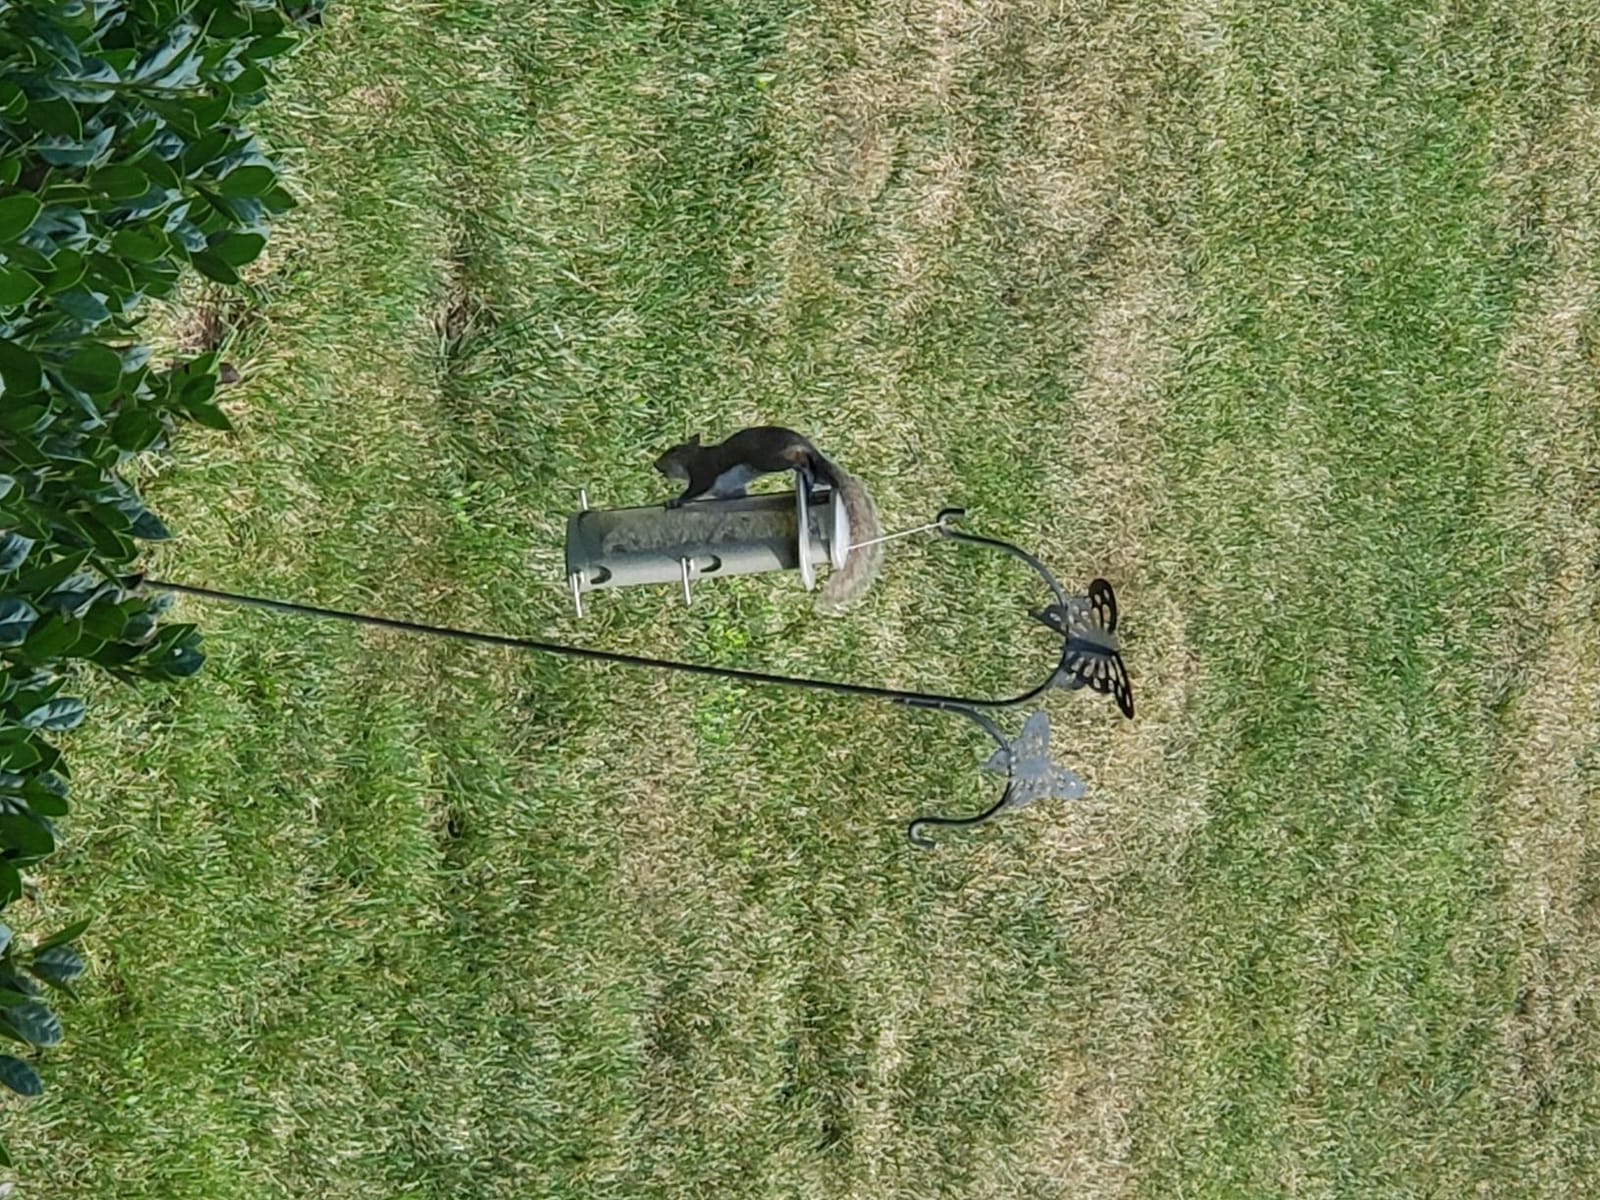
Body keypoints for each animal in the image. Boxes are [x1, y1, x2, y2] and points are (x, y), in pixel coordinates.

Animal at [652, 426, 883, 614]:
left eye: (673, 451)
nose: (655, 464)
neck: (695, 457)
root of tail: (808, 446)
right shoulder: (729, 490)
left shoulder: (703, 472)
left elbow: (693, 491)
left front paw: (675, 501)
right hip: (805, 471)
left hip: (769, 459)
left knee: (800, 459)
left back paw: (803, 466)